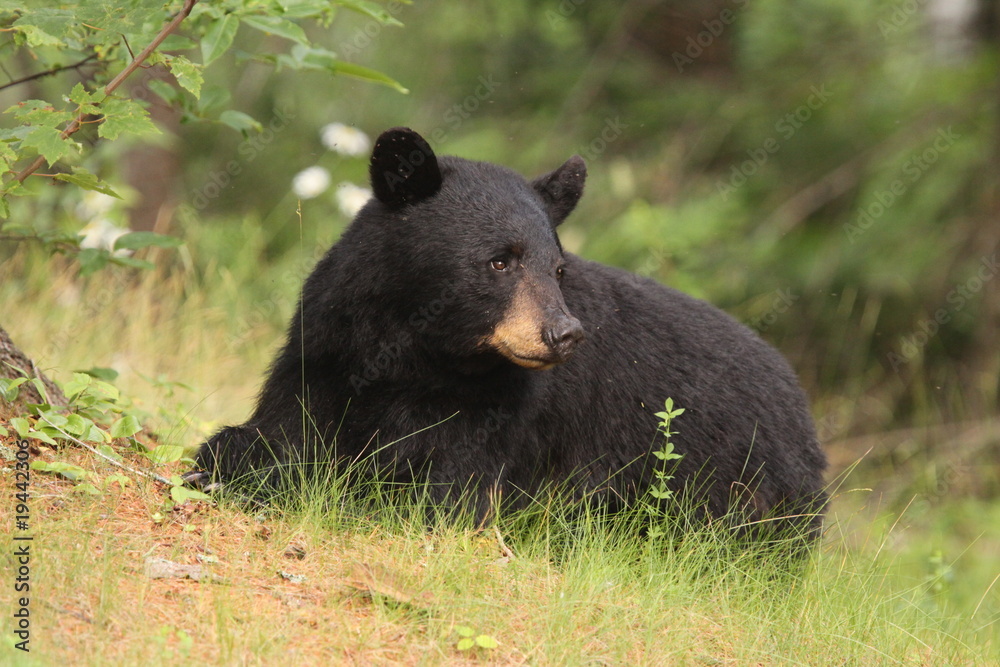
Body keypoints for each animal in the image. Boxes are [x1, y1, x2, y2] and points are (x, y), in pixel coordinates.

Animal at [189, 127, 828, 543]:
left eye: (558, 268)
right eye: (500, 261)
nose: (564, 333)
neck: (417, 353)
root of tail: (803, 407)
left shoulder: (504, 409)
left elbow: (448, 487)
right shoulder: (327, 349)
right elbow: (283, 427)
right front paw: (233, 458)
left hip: (743, 485)